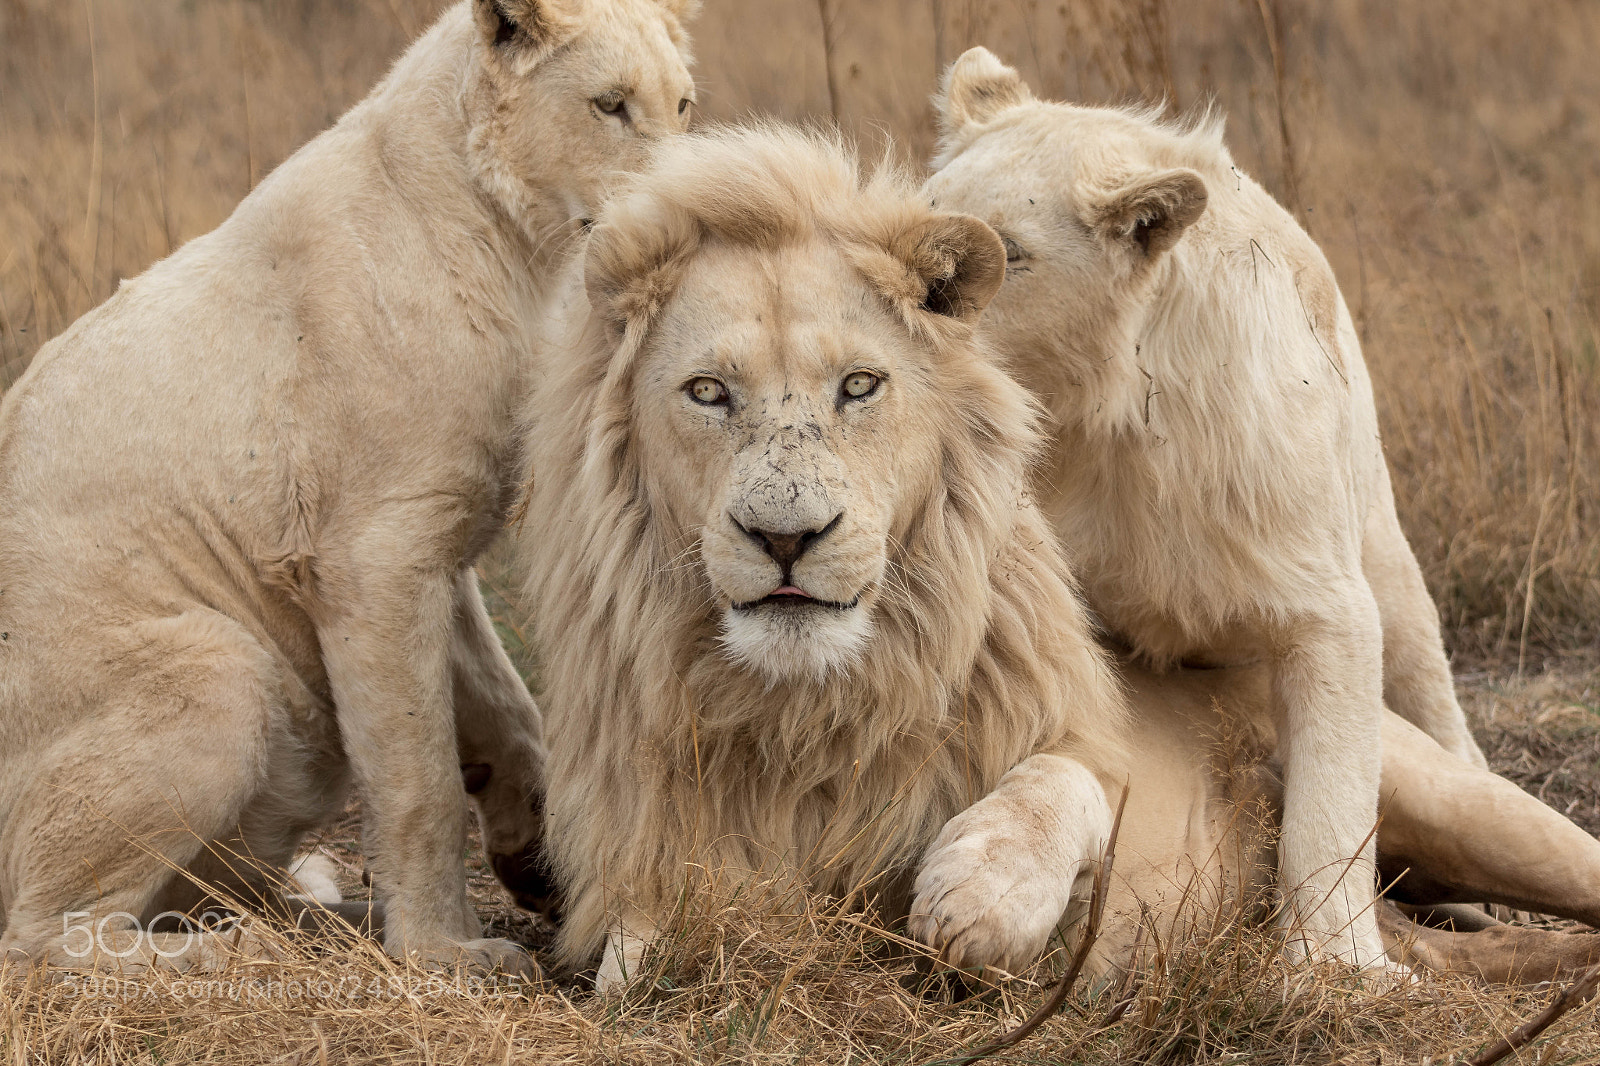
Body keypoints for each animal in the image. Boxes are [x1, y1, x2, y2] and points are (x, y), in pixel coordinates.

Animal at [0, 0, 696, 973]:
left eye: (683, 102)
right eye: (610, 105)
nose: (682, 208)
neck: (519, 251)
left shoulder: (441, 534)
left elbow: (508, 707)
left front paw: (536, 864)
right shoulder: (373, 553)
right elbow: (417, 771)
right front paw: (449, 953)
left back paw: (311, 920)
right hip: (219, 670)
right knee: (39, 937)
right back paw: (228, 955)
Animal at [922, 47, 1485, 970]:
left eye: (1011, 253)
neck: (1096, 422)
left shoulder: (1323, 597)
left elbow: (1333, 793)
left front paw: (1334, 965)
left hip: (1387, 558)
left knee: (1433, 694)